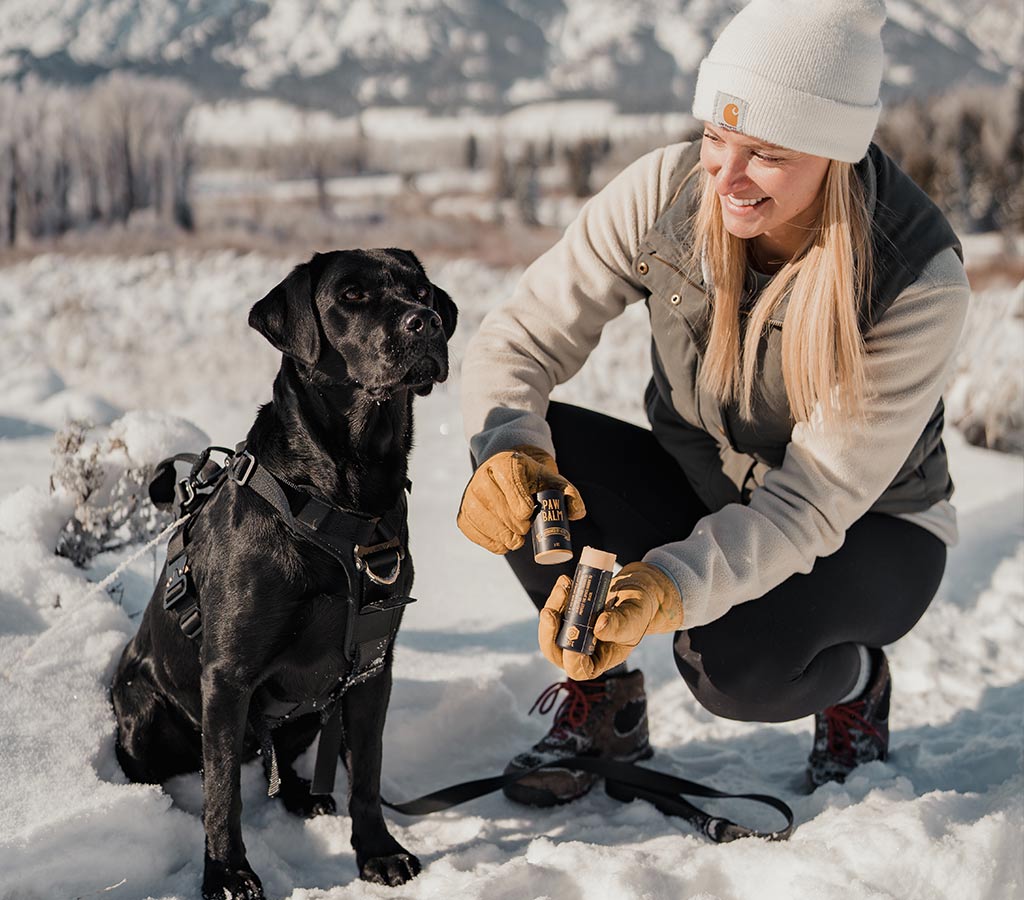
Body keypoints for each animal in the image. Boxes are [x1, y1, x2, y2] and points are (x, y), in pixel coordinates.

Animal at [109, 249, 456, 900]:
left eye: (420, 290)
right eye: (350, 295)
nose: (425, 322)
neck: (342, 503)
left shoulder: (373, 668)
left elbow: (367, 774)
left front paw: (378, 852)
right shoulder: (228, 675)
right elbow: (224, 795)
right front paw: (227, 875)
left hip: (318, 709)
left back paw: (305, 797)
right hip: (142, 706)